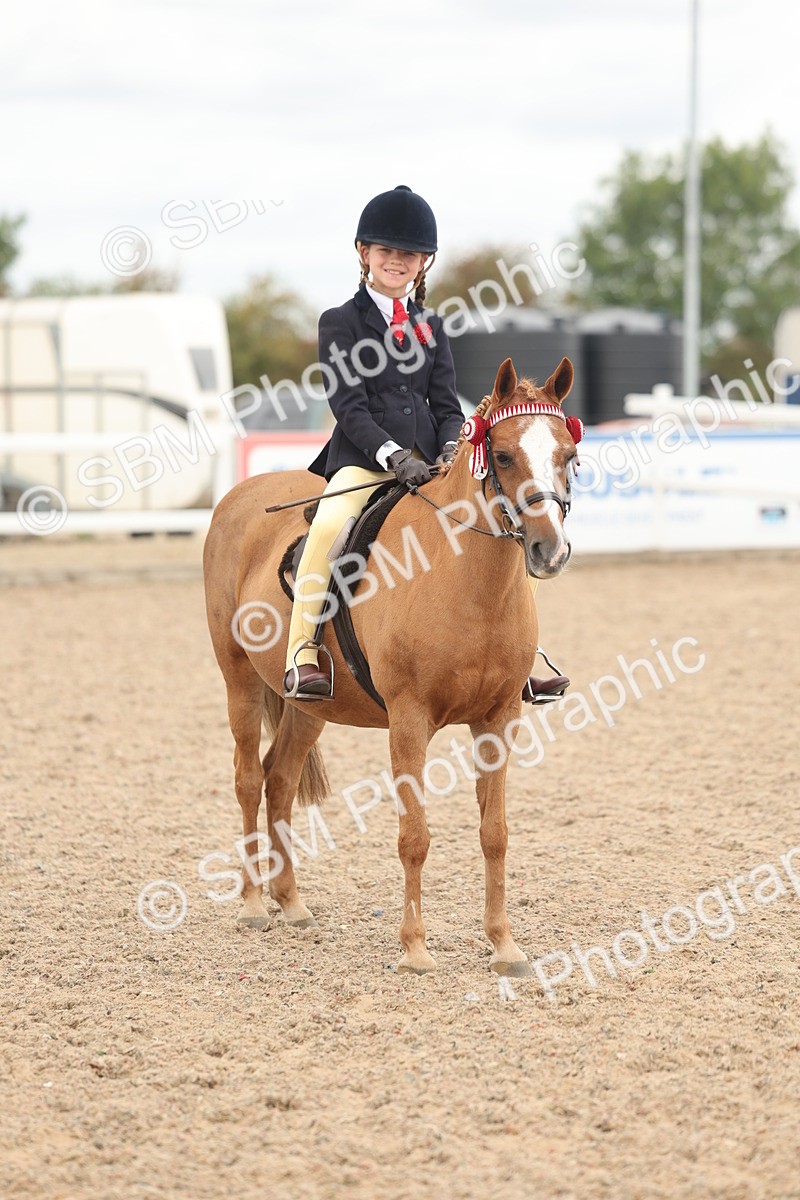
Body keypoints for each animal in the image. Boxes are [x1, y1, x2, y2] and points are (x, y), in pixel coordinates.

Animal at [203, 356, 579, 976]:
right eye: (502, 456)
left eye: (569, 455)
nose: (550, 552)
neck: (463, 580)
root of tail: (241, 495)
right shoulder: (408, 720)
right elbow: (414, 837)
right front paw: (416, 949)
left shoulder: (500, 719)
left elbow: (495, 833)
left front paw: (504, 946)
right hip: (238, 681)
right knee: (248, 779)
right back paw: (255, 904)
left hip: (311, 705)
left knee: (280, 780)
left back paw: (292, 903)